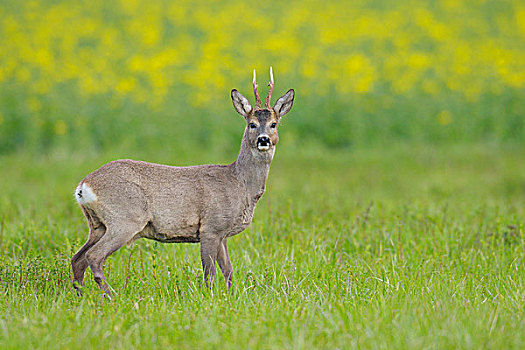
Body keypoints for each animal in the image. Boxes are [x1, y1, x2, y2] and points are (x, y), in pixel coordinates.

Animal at [70, 68, 292, 298]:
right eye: (252, 124)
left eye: (274, 124)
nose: (264, 139)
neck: (239, 184)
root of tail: (83, 186)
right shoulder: (211, 227)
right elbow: (210, 273)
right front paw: (209, 297)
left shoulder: (222, 233)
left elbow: (228, 271)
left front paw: (233, 296)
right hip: (125, 218)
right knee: (94, 256)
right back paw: (110, 296)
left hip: (97, 224)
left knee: (77, 259)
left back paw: (82, 296)